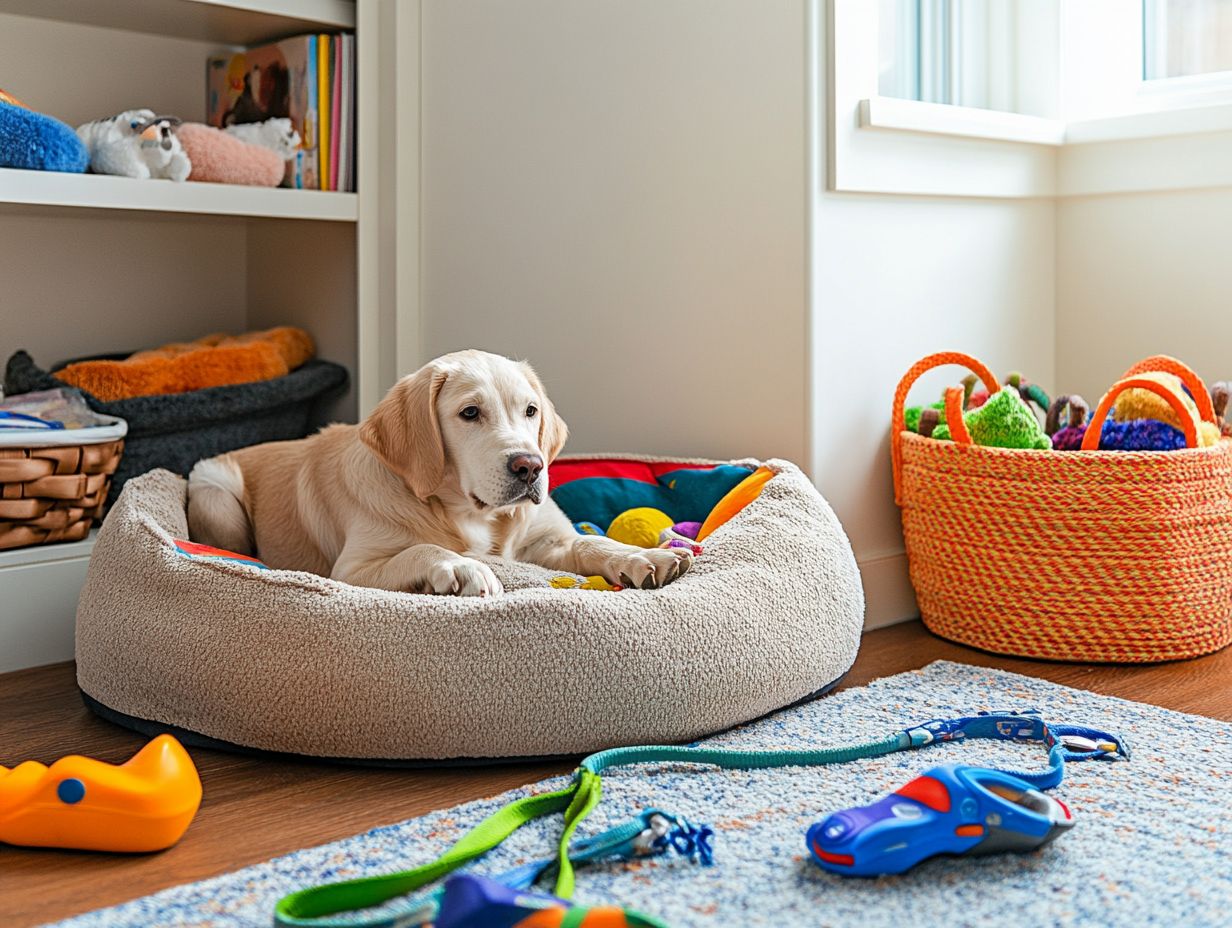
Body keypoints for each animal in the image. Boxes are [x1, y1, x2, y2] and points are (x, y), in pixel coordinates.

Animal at [189, 347, 694, 594]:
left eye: (531, 411)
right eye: (470, 413)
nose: (530, 467)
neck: (468, 512)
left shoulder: (547, 540)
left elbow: (591, 541)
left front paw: (643, 558)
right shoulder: (351, 570)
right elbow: (422, 548)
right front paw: (461, 566)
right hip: (217, 495)